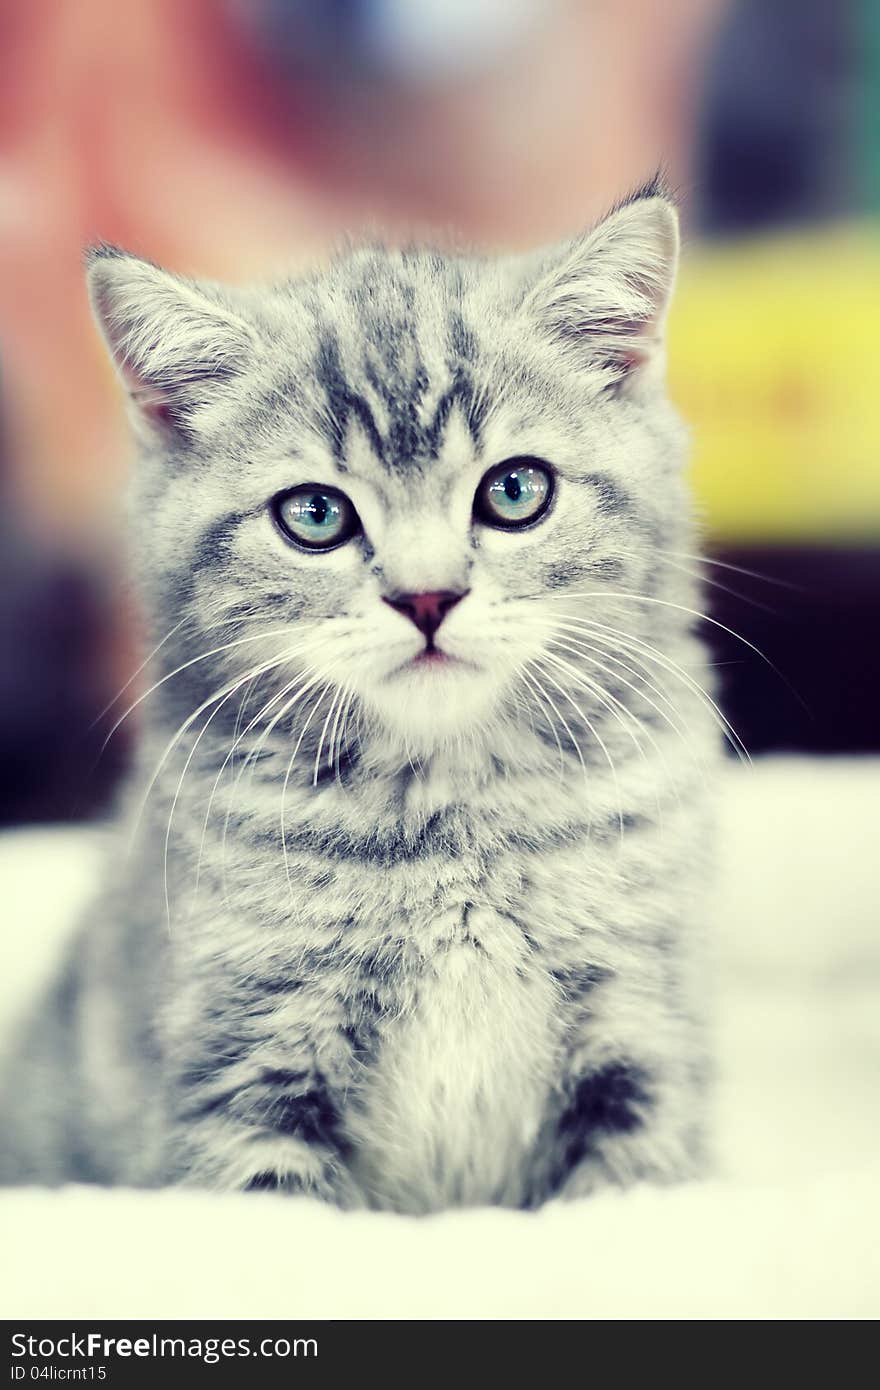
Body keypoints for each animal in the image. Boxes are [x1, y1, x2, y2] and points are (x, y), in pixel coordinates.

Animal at [3, 182, 717, 1206]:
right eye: (314, 515)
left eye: (515, 492)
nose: (427, 597)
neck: (452, 810)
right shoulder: (243, 1073)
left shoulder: (645, 1038)